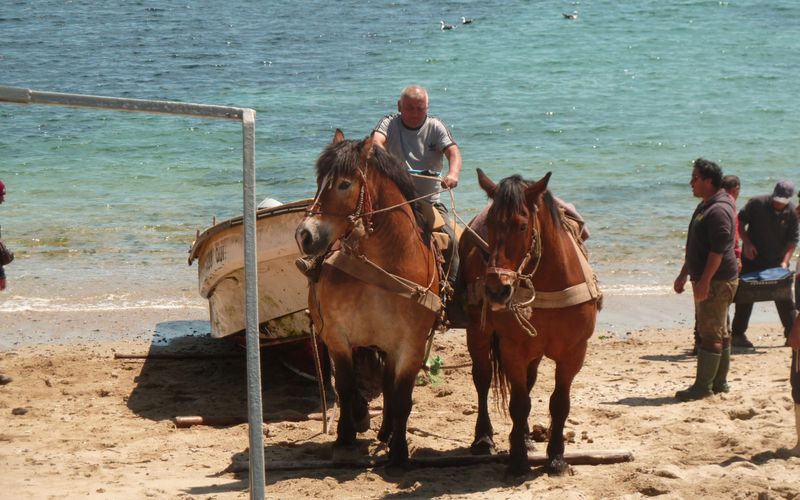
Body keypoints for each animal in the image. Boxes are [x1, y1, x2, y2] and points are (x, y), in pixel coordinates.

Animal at [296, 129, 440, 468]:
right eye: (319, 178)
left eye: (344, 184)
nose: (305, 235)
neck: (383, 268)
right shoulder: (337, 336)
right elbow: (346, 387)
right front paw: (345, 438)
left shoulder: (410, 345)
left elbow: (401, 397)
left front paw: (399, 451)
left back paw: (386, 432)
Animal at [460, 169, 596, 476]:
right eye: (490, 225)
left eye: (522, 226)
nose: (496, 289)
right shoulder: (513, 349)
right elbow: (519, 404)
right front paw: (518, 459)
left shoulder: (574, 353)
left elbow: (559, 404)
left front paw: (556, 458)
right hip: (478, 334)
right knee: (482, 379)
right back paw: (484, 438)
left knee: (529, 381)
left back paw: (523, 436)